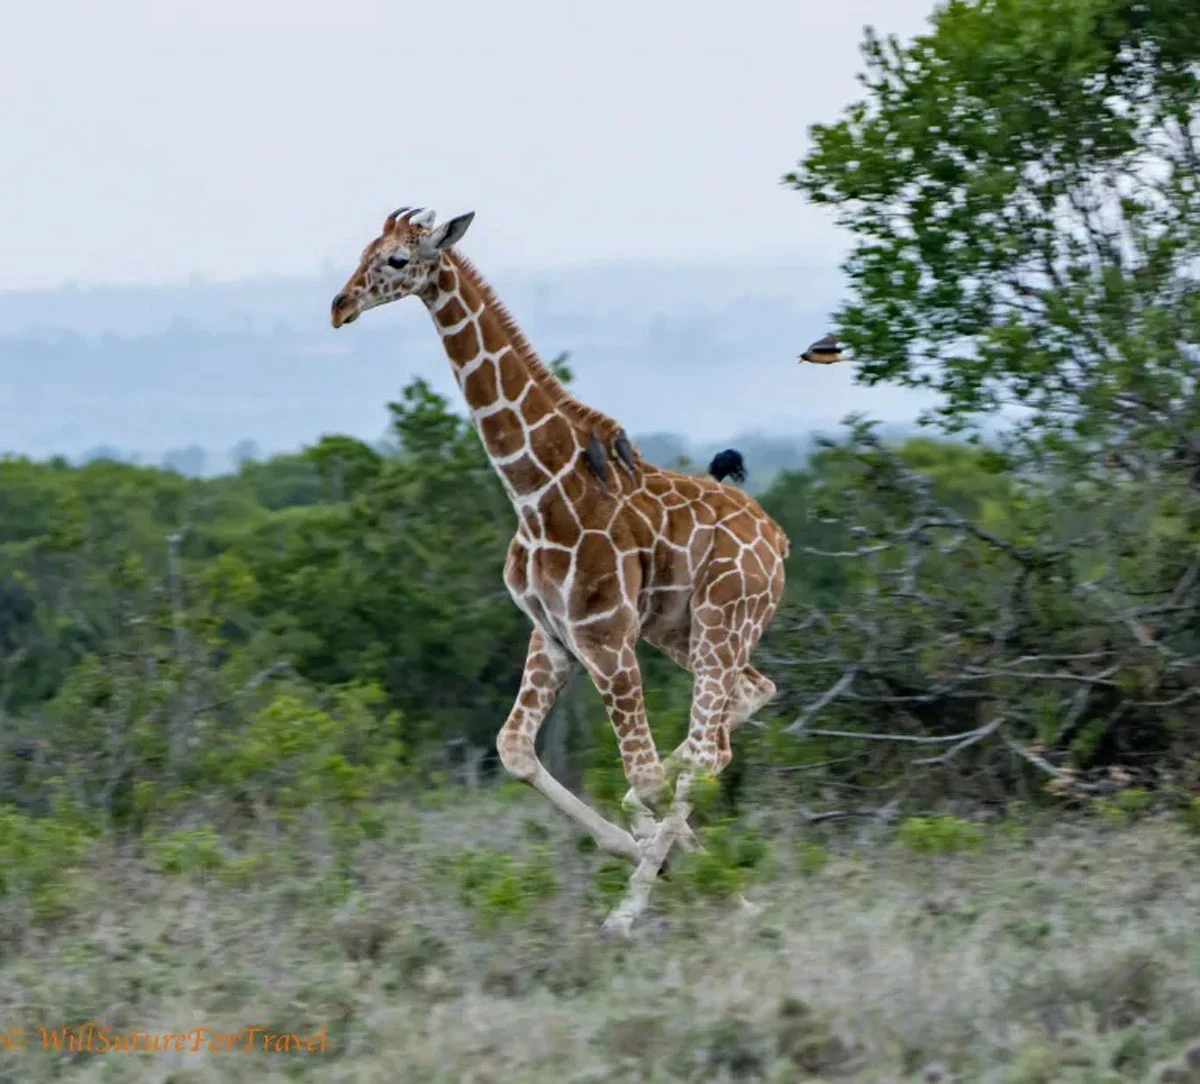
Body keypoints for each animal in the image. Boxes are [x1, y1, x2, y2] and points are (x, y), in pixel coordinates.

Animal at [331, 206, 790, 933]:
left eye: (398, 260)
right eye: (366, 249)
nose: (340, 305)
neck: (535, 490)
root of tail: (777, 538)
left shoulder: (605, 640)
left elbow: (644, 776)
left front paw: (634, 906)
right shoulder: (552, 636)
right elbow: (515, 750)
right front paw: (642, 852)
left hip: (722, 621)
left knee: (705, 750)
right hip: (685, 632)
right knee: (740, 709)